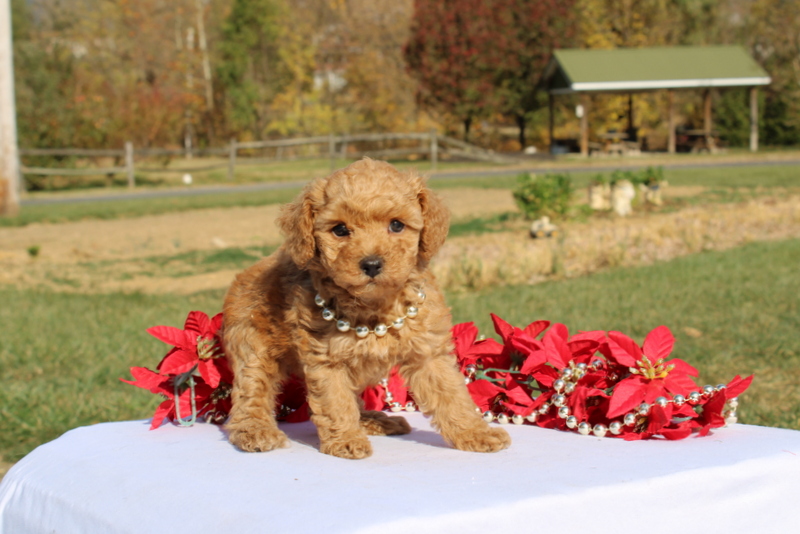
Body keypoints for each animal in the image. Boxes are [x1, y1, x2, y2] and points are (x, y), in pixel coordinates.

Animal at [223, 159, 512, 460]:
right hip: (253, 345)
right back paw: (256, 431)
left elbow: (451, 394)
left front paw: (475, 433)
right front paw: (346, 440)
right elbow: (336, 400)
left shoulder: (428, 352)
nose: (371, 264)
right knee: (251, 392)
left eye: (396, 225)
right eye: (340, 230)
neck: (376, 309)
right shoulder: (327, 360)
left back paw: (374, 421)